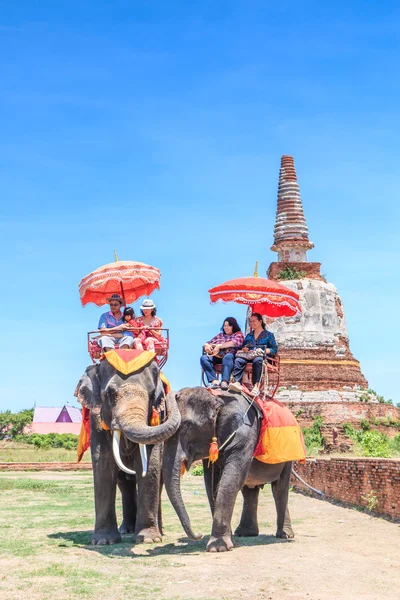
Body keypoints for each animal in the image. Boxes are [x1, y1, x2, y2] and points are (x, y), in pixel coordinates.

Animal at [75, 358, 181, 548]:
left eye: (152, 394)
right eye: (110, 394)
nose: (176, 396)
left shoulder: (156, 417)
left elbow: (150, 465)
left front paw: (149, 539)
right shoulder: (97, 418)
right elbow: (103, 463)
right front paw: (103, 542)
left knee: (158, 481)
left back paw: (159, 531)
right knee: (124, 483)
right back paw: (126, 530)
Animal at [162, 386, 294, 552]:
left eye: (188, 426)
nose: (198, 534)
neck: (216, 396)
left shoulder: (244, 435)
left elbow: (229, 481)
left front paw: (218, 547)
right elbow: (211, 484)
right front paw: (229, 541)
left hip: (288, 458)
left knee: (280, 489)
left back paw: (285, 535)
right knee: (250, 491)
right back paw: (246, 533)